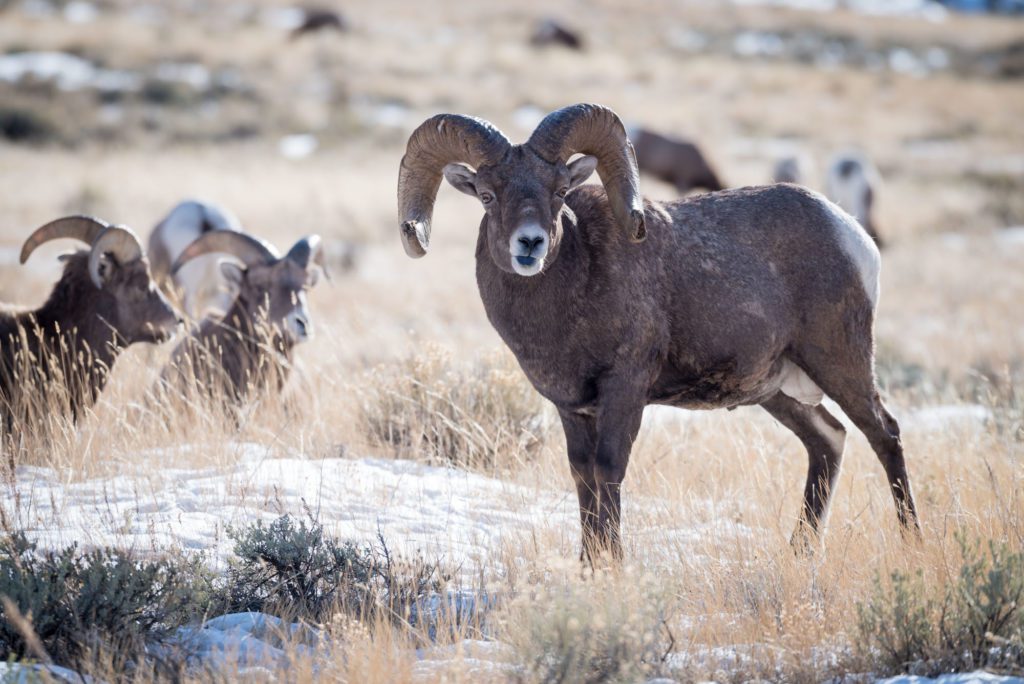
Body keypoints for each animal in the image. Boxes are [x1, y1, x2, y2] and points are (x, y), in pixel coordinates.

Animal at [396, 103, 919, 560]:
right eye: (488, 195)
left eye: (559, 192)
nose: (530, 244)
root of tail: (852, 234)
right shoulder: (572, 408)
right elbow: (583, 477)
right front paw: (589, 567)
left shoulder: (625, 390)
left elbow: (609, 472)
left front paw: (614, 566)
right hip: (778, 392)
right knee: (828, 440)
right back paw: (800, 554)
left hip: (841, 362)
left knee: (884, 435)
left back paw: (911, 542)